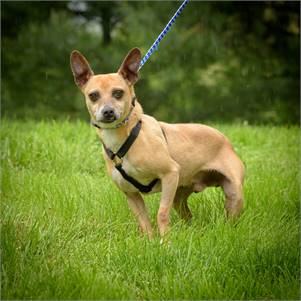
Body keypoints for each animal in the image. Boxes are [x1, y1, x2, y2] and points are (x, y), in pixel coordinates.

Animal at [69, 48, 244, 238]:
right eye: (93, 96)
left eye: (118, 93)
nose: (107, 111)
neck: (126, 137)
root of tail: (225, 139)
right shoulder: (131, 194)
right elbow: (144, 221)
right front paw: (150, 241)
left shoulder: (170, 174)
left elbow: (162, 213)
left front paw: (165, 241)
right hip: (179, 197)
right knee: (188, 216)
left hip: (234, 194)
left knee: (231, 218)